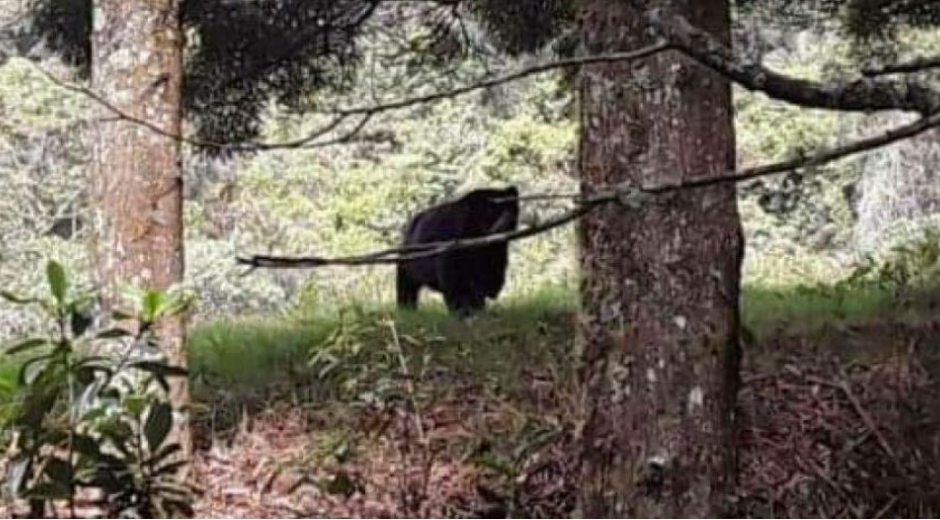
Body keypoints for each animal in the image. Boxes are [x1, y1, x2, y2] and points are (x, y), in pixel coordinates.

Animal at [396, 187, 520, 316]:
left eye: (510, 206)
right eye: (493, 210)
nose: (507, 219)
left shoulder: (496, 254)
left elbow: (489, 280)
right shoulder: (452, 246)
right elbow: (455, 285)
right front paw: (463, 312)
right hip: (410, 258)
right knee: (407, 286)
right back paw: (406, 309)